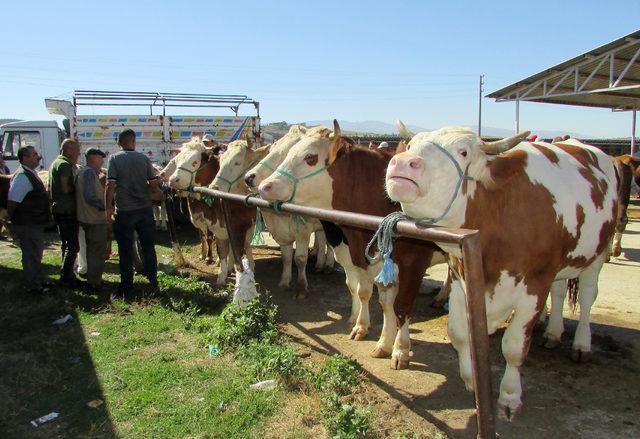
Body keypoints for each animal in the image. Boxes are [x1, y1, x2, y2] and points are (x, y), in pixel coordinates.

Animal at [244, 126, 336, 300]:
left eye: (285, 154)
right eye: (270, 150)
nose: (248, 177)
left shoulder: (303, 231)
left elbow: (299, 259)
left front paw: (301, 287)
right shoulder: (281, 233)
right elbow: (286, 257)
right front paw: (284, 281)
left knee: (328, 242)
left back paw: (328, 264)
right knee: (321, 239)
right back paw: (319, 262)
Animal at [388, 122, 616, 422]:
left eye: (463, 151)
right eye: (412, 145)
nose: (403, 162)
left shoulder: (535, 283)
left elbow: (514, 346)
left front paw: (509, 397)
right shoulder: (462, 274)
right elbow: (459, 333)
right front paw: (473, 382)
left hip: (598, 252)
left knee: (589, 295)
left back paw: (581, 344)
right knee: (558, 291)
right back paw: (553, 333)